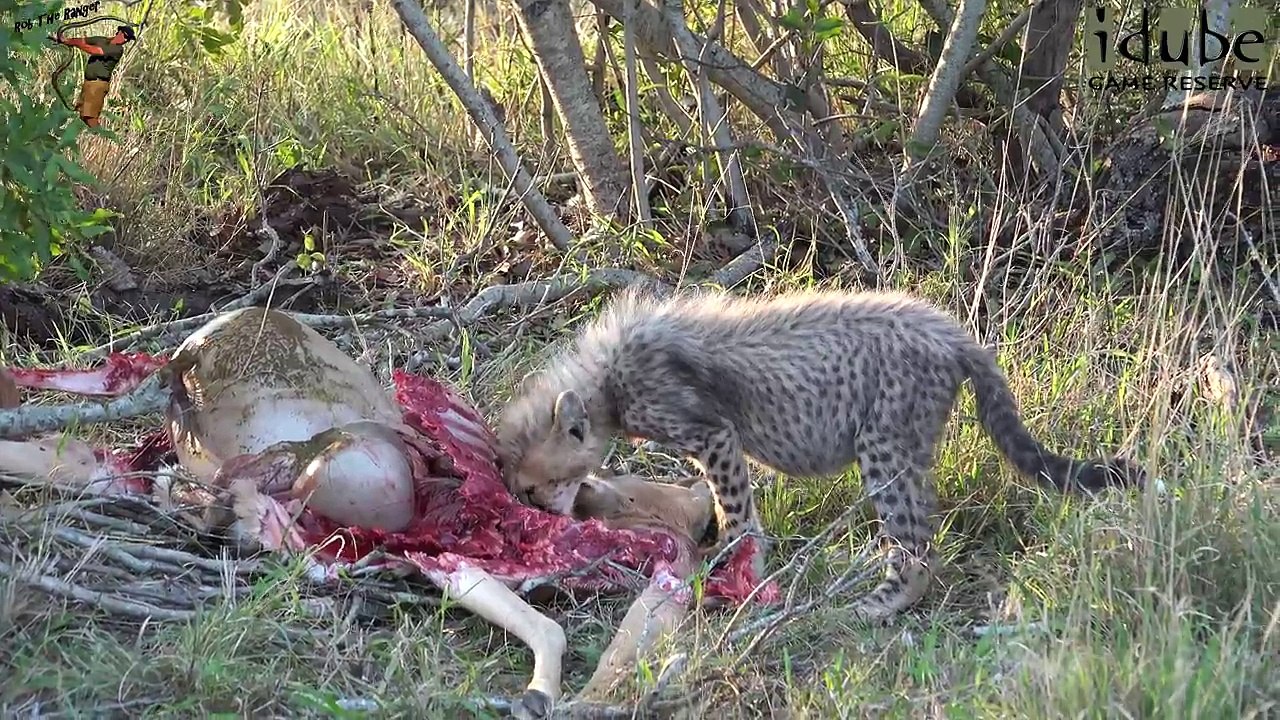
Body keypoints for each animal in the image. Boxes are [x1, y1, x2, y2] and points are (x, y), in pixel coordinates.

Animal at [493, 286, 1145, 620]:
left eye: (530, 488)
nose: (543, 517)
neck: (606, 380)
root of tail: (949, 329)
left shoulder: (716, 436)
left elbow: (737, 511)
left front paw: (738, 566)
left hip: (884, 446)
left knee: (915, 545)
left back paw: (877, 604)